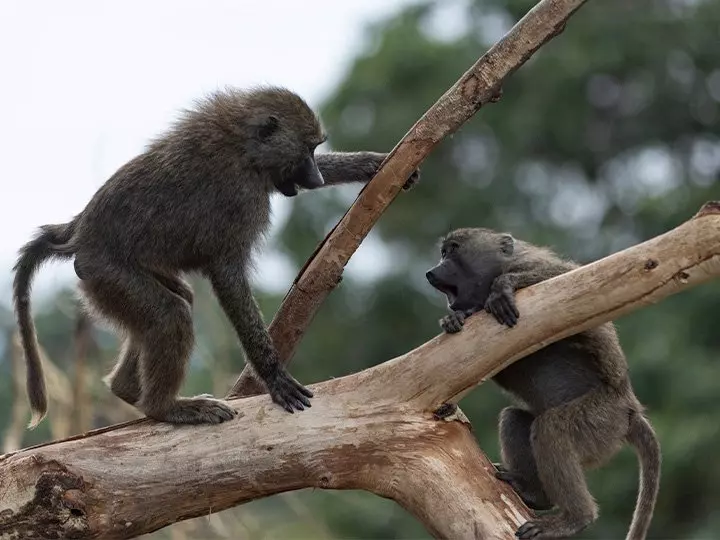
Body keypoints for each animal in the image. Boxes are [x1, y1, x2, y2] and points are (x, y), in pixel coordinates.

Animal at [13, 85, 419, 428]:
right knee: (170, 314)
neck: (243, 146)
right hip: (104, 271)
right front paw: (274, 376)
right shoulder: (240, 200)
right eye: (306, 150)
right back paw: (165, 407)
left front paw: (376, 163)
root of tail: (79, 231)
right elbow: (228, 277)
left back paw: (126, 389)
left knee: (179, 300)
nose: (316, 179)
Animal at [425, 228, 660, 540]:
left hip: (603, 419)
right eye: (443, 252)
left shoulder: (532, 264)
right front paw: (454, 317)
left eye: (452, 250)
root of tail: (630, 409)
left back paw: (575, 519)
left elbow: (572, 276)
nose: (430, 272)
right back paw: (534, 494)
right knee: (514, 419)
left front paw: (502, 288)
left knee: (552, 429)